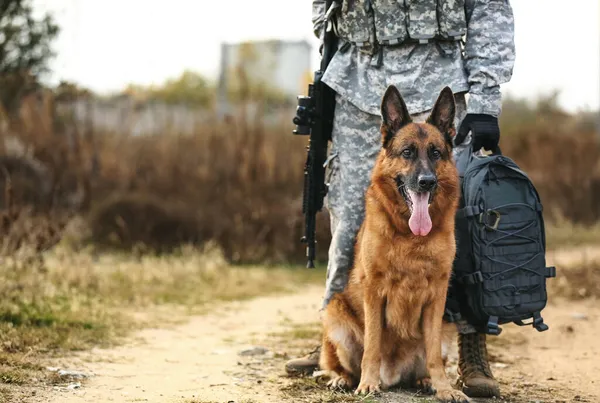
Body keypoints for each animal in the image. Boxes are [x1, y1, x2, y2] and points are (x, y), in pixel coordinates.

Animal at [318, 87, 468, 402]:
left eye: (436, 153)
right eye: (407, 152)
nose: (426, 182)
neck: (411, 237)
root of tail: (394, 377)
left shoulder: (437, 296)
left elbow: (433, 354)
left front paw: (445, 388)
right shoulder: (375, 292)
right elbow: (373, 345)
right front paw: (367, 383)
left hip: (448, 324)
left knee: (429, 359)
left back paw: (425, 380)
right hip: (336, 313)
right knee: (338, 363)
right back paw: (344, 378)